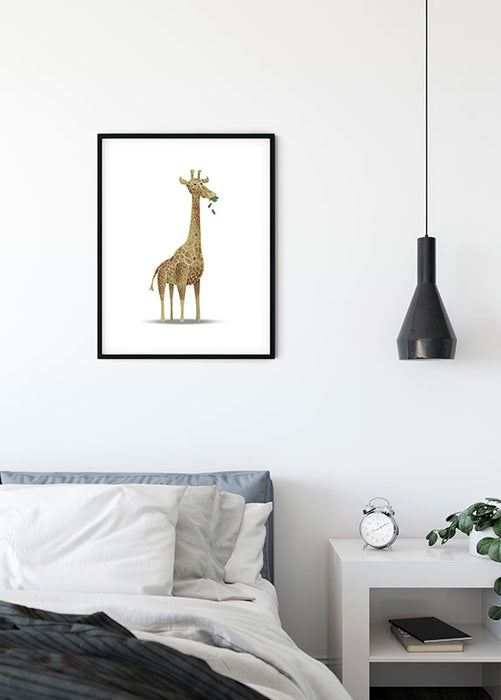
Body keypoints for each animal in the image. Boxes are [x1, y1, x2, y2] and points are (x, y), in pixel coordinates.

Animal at [149, 170, 218, 323]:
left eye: (202, 182)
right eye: (194, 184)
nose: (213, 195)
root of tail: (158, 267)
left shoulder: (197, 280)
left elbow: (197, 299)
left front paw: (198, 319)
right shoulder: (182, 280)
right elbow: (183, 298)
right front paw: (182, 320)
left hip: (170, 282)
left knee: (170, 296)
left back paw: (171, 318)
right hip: (161, 280)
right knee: (162, 297)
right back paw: (163, 319)